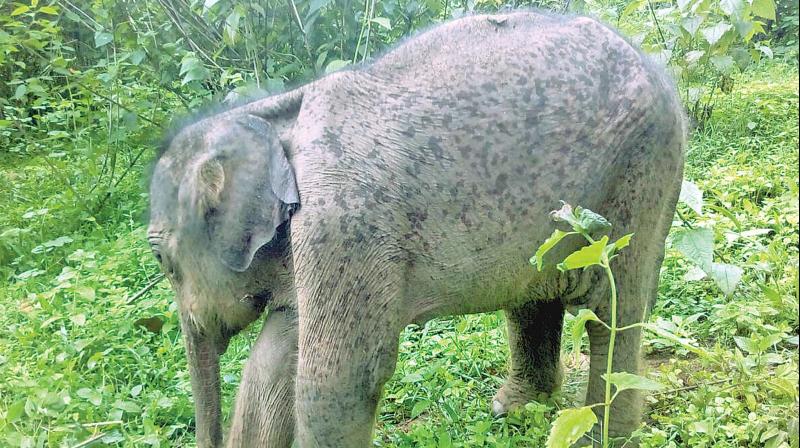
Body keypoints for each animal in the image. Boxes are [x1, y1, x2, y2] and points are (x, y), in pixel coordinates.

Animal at [147, 7, 684, 448]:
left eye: (161, 260)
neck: (267, 117)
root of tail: (659, 69)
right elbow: (273, 363)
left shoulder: (344, 223)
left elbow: (338, 379)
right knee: (533, 298)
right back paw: (512, 410)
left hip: (641, 172)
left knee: (614, 310)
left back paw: (601, 436)